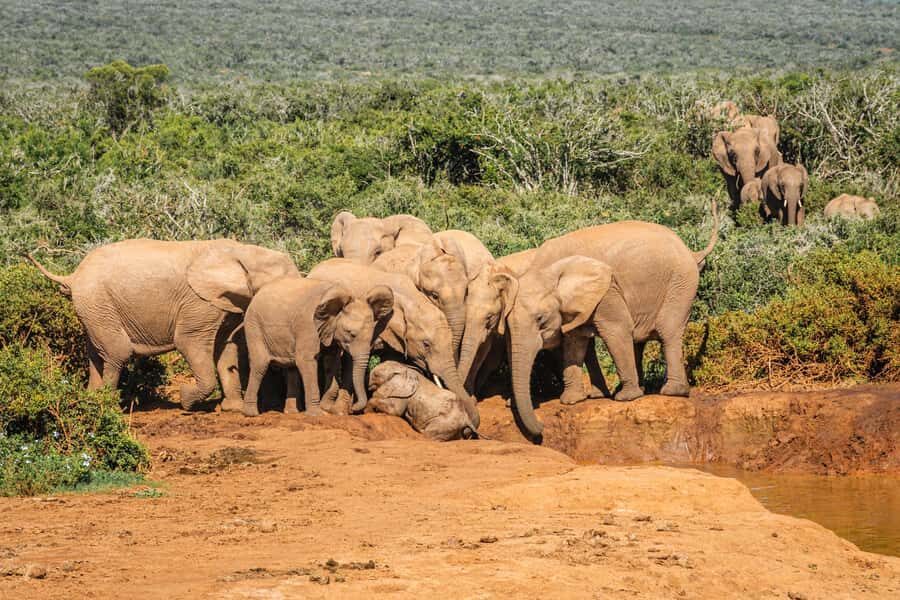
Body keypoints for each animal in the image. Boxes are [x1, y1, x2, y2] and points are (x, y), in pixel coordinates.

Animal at [28, 239, 299, 410]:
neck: (244, 252)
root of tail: (72, 276)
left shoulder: (227, 305)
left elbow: (227, 347)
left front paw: (232, 409)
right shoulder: (199, 303)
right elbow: (189, 341)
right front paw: (186, 401)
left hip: (94, 309)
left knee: (95, 354)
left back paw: (91, 403)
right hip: (97, 302)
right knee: (117, 351)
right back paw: (108, 407)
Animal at [239, 276, 394, 417]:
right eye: (351, 333)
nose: (353, 408)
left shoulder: (330, 331)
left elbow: (331, 363)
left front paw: (326, 408)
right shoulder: (308, 326)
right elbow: (306, 361)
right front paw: (317, 414)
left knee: (291, 368)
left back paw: (292, 413)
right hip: (254, 325)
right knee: (260, 364)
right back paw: (251, 414)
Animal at [505, 208, 718, 438]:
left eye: (540, 319)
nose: (542, 427)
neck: (547, 269)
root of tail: (691, 252)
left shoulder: (607, 291)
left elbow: (616, 331)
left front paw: (626, 398)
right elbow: (574, 341)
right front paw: (571, 401)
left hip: (681, 284)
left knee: (667, 331)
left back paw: (671, 392)